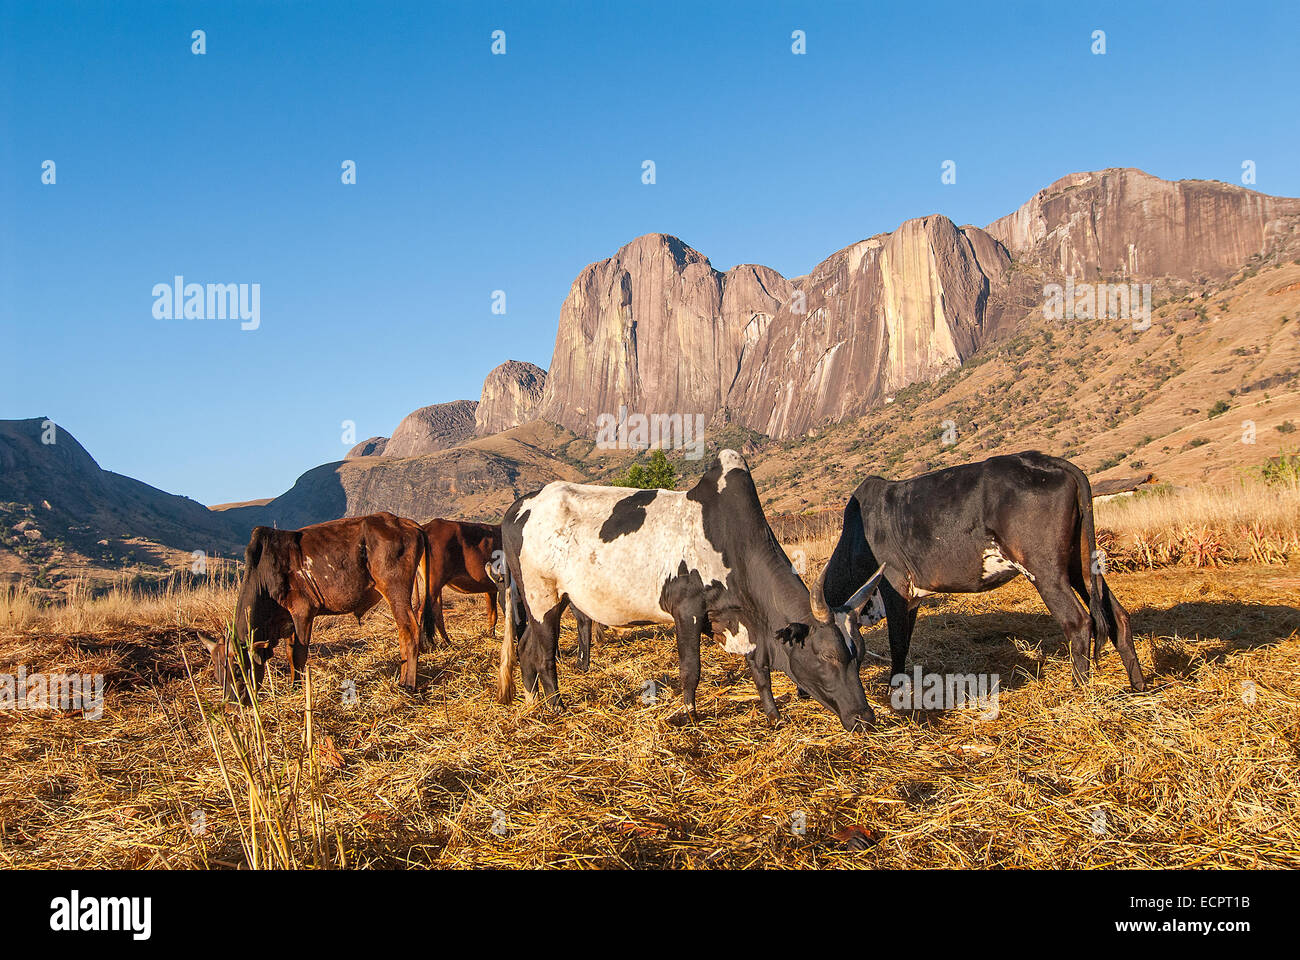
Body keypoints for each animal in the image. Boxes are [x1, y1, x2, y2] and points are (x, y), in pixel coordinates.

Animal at [205, 512, 434, 697]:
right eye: (217, 674)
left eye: (237, 670)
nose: (231, 703)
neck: (263, 575)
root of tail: (404, 522)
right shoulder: (287, 620)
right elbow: (290, 653)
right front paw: (294, 685)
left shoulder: (303, 612)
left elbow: (299, 653)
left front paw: (298, 688)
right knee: (404, 631)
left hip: (395, 591)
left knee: (410, 630)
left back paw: (408, 684)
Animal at [491, 447, 889, 723]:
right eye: (826, 656)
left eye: (860, 655)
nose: (865, 718)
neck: (731, 538)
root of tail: (518, 506)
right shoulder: (687, 609)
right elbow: (691, 669)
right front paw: (689, 714)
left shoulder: (745, 621)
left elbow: (759, 668)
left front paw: (773, 715)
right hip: (543, 597)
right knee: (544, 656)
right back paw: (556, 707)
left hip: (540, 600)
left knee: (526, 649)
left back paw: (532, 703)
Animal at [821, 452, 1149, 692]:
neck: (857, 536)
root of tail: (1051, 461)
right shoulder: (911, 598)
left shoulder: (895, 587)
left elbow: (898, 644)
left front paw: (895, 690)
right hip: (1080, 566)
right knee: (1118, 616)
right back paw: (1138, 687)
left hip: (1046, 572)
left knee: (1079, 622)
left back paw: (1079, 693)